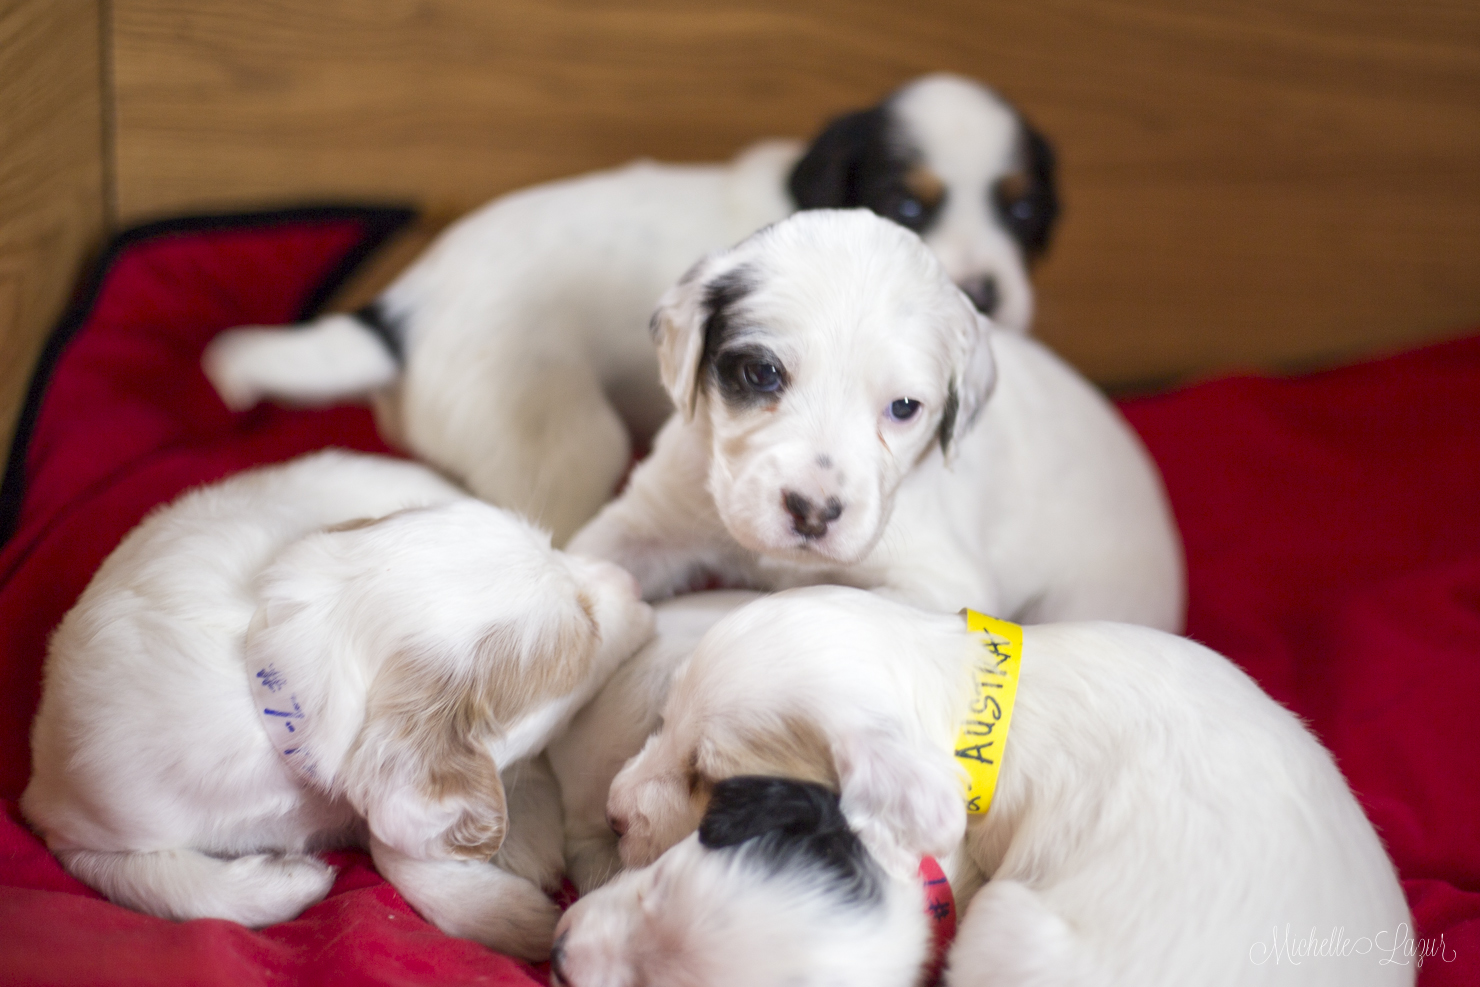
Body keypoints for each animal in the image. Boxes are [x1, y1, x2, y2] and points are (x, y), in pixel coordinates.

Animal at [20, 452, 657, 958]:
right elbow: (168, 885)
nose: (635, 585)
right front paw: (296, 882)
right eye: (586, 630)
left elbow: (392, 841)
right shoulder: (71, 817)